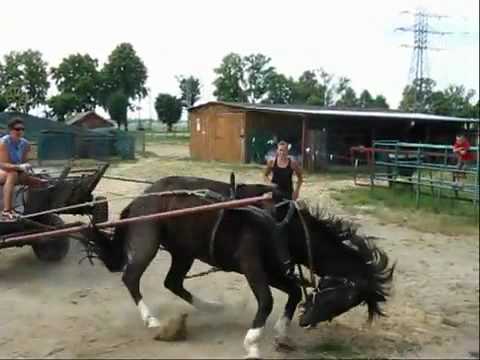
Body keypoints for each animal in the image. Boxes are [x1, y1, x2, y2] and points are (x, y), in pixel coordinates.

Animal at [85, 184, 394, 358]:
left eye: (348, 303)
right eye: (345, 295)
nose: (308, 321)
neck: (280, 221)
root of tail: (138, 201)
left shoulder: (273, 268)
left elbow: (293, 291)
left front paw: (282, 334)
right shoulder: (251, 264)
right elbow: (266, 300)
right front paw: (252, 343)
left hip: (184, 251)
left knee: (173, 282)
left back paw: (211, 307)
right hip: (147, 242)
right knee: (131, 277)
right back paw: (152, 320)